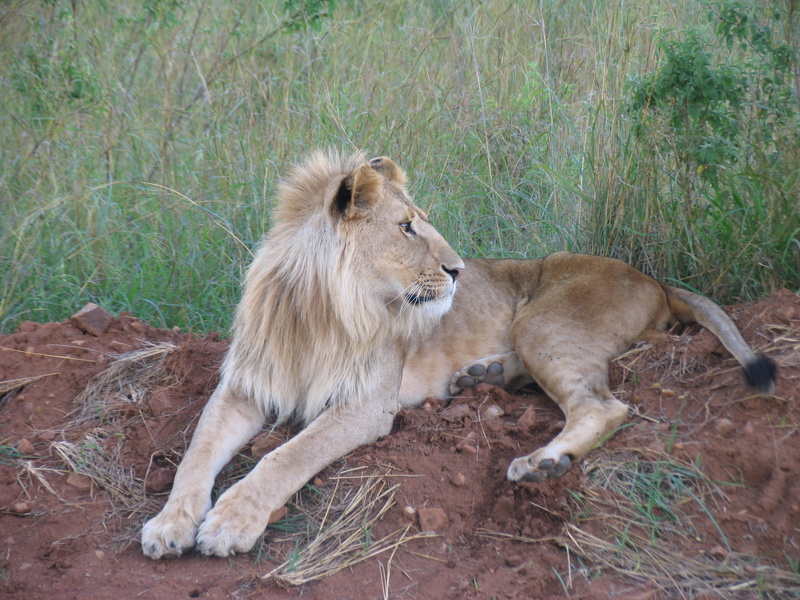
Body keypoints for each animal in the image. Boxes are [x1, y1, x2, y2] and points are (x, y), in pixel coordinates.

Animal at [141, 151, 776, 559]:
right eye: (406, 228)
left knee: (605, 406)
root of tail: (654, 278)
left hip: (542, 320)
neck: (318, 312)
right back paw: (480, 376)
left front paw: (230, 522)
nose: (459, 270)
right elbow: (196, 453)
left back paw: (543, 462)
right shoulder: (244, 386)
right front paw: (169, 525)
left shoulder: (366, 405)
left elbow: (288, 455)